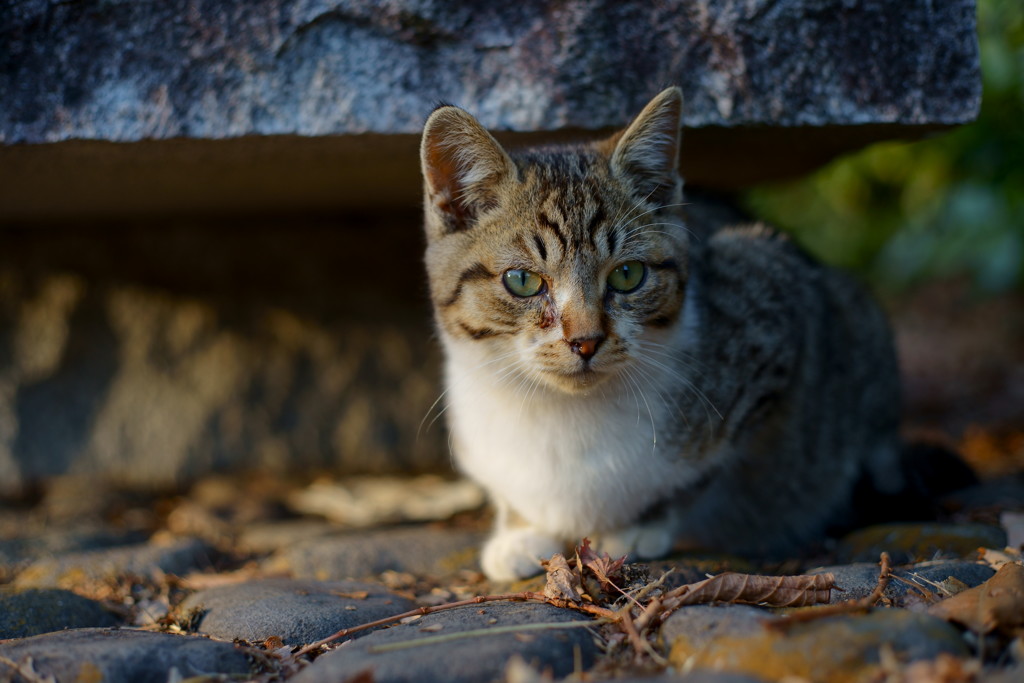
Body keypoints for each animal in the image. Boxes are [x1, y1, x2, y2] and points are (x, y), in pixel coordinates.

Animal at [417, 87, 905, 581]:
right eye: (522, 281)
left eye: (628, 275)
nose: (586, 340)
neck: (561, 411)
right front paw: (521, 530)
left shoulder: (773, 309)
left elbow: (696, 476)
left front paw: (640, 524)